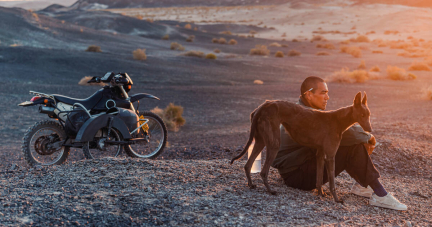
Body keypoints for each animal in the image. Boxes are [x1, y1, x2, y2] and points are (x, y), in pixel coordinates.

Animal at [230, 91, 372, 203]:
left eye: (369, 114)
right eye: (362, 115)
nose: (370, 130)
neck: (338, 119)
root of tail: (264, 105)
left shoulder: (320, 154)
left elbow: (319, 179)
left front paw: (320, 193)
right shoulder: (331, 156)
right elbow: (332, 183)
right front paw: (336, 199)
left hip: (260, 141)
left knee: (247, 165)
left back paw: (251, 184)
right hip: (274, 144)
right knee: (263, 172)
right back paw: (271, 191)